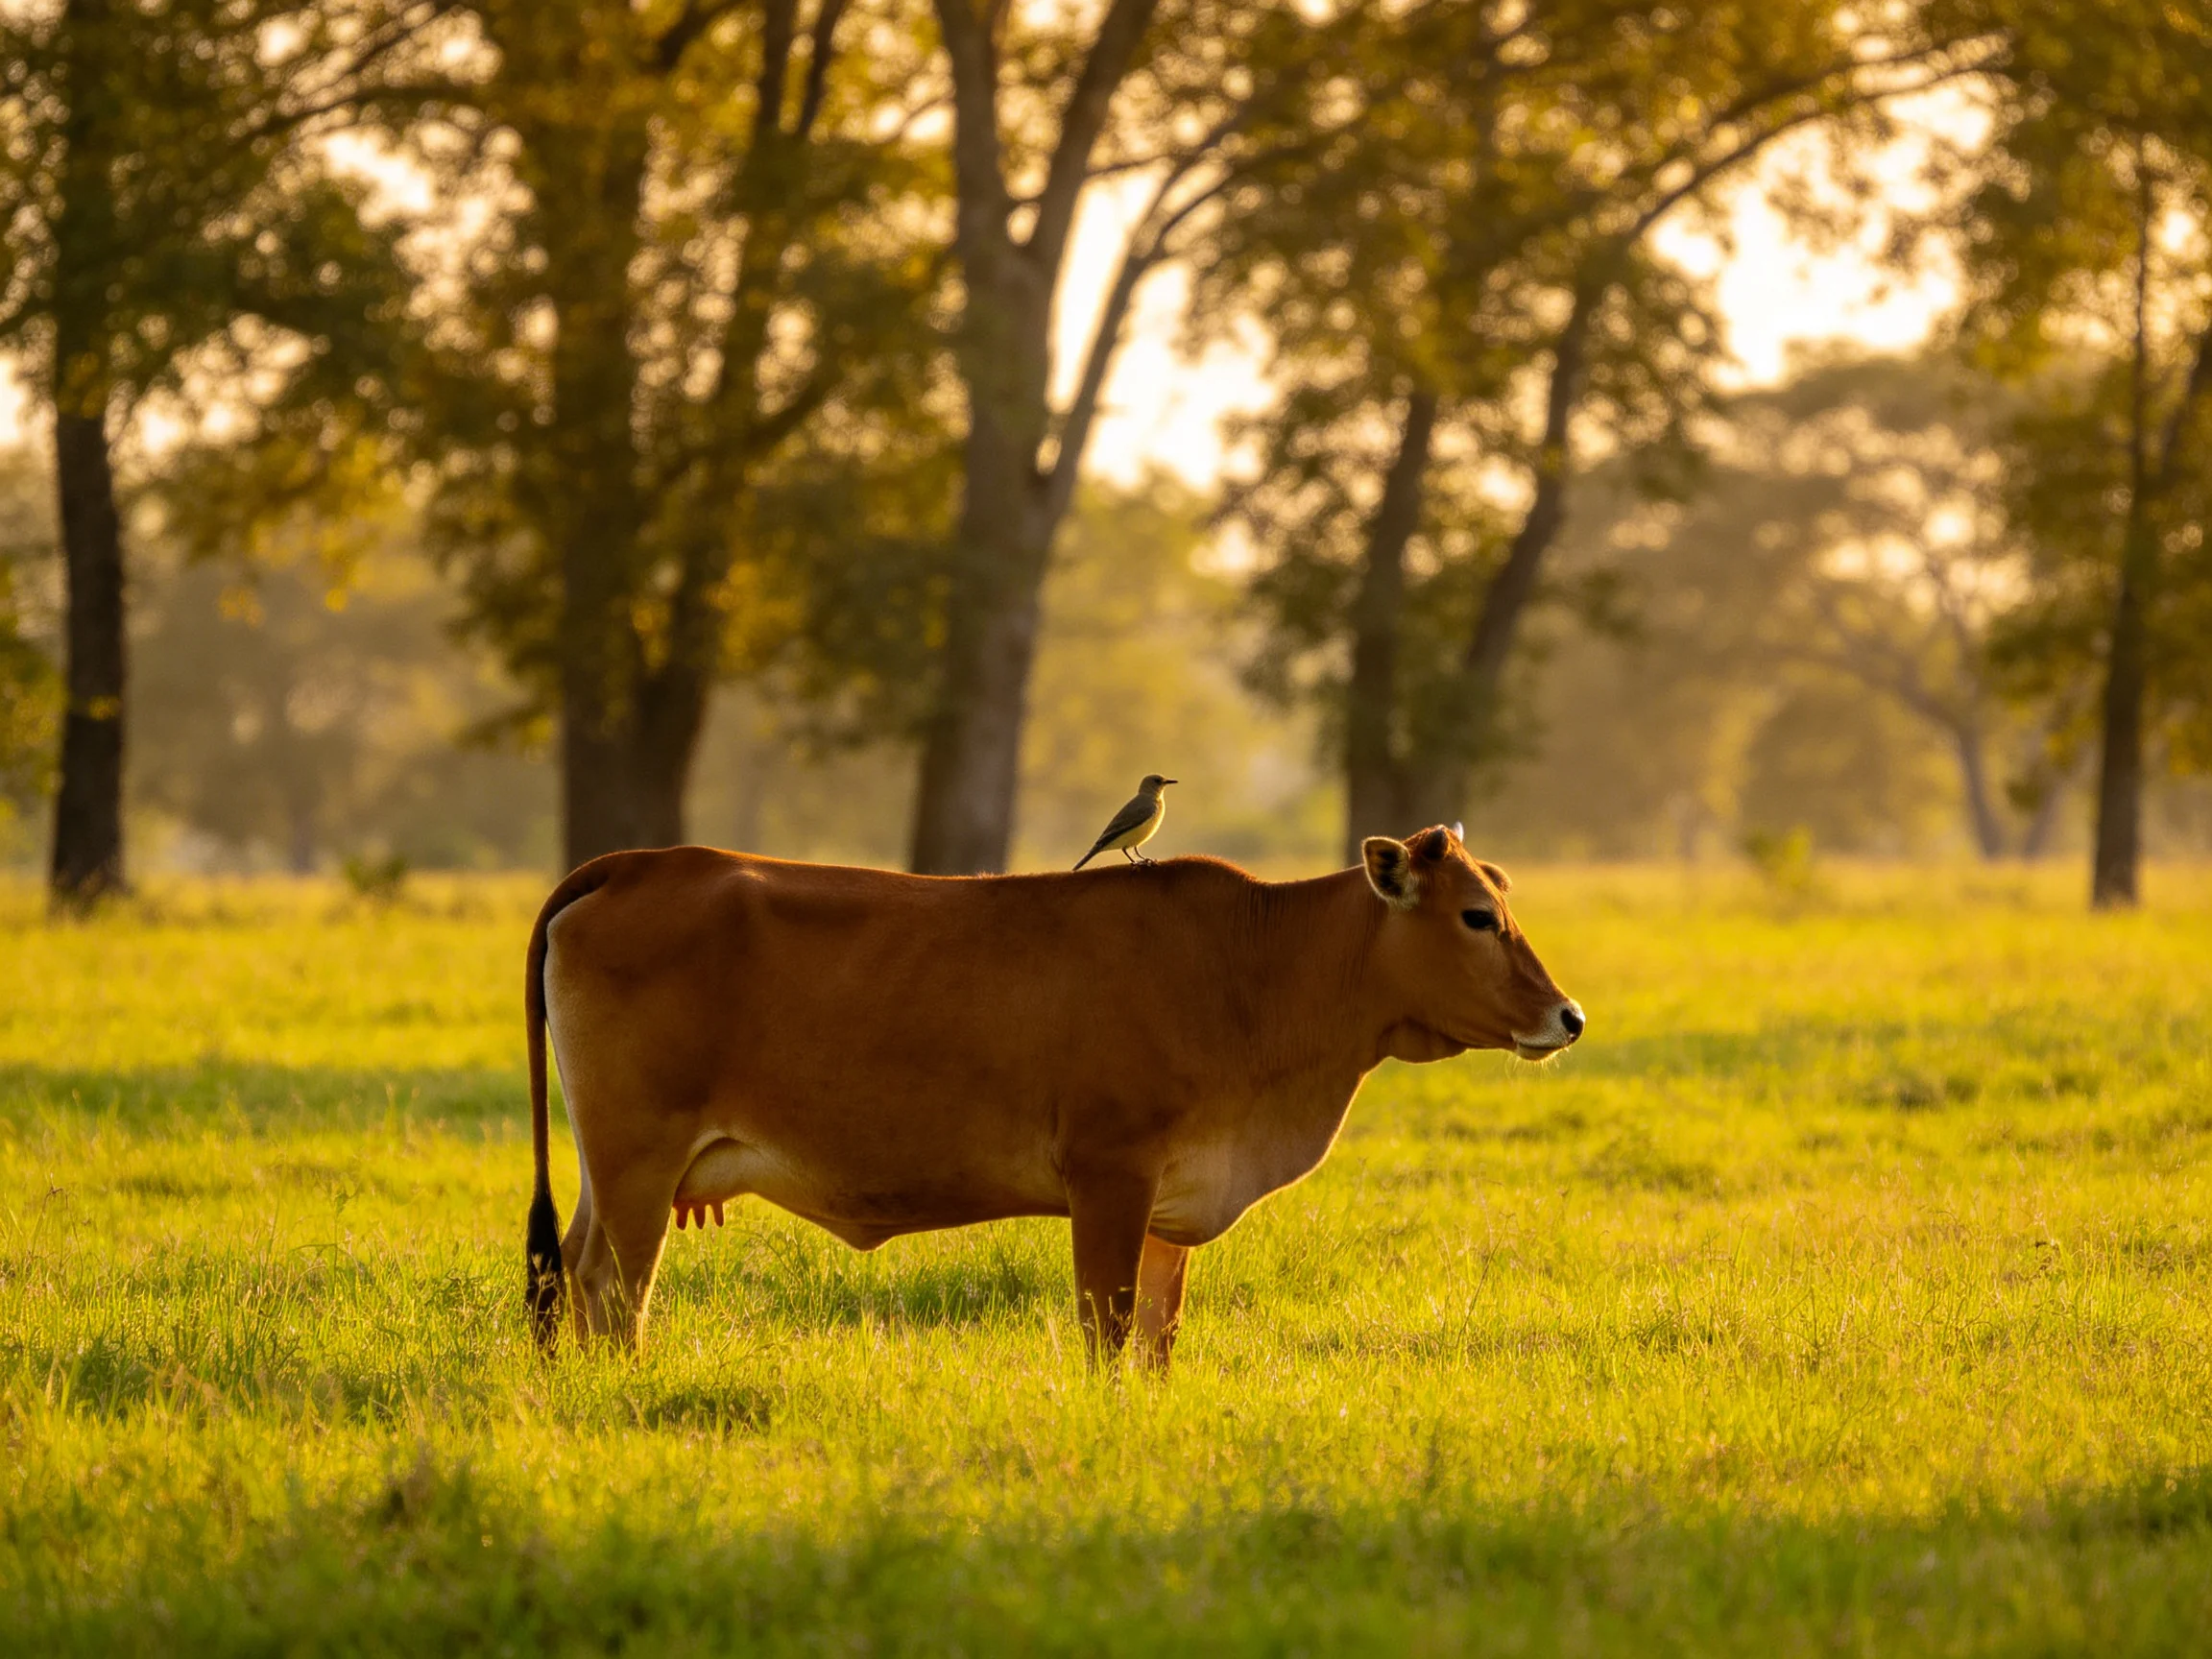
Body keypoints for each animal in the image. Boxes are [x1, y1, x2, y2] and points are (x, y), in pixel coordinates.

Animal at [523, 825, 1583, 1367]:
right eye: (1477, 916)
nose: (1569, 1016)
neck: (1253, 968)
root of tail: (644, 861)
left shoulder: (1169, 1205)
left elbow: (1154, 1337)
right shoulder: (1108, 1176)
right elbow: (1106, 1333)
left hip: (607, 1170)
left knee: (566, 1273)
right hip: (637, 1160)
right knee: (614, 1291)